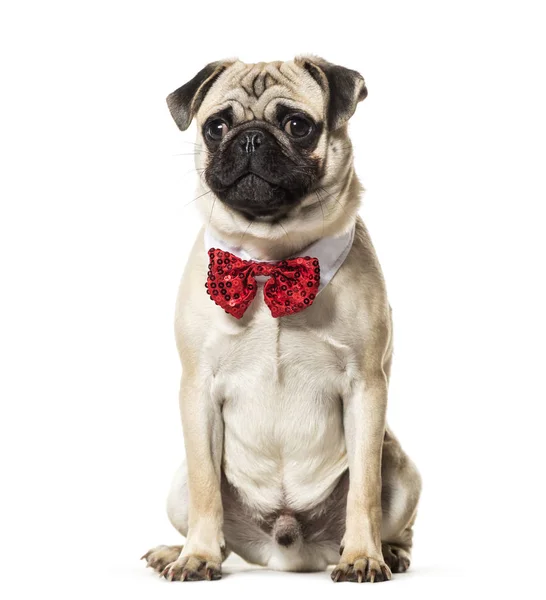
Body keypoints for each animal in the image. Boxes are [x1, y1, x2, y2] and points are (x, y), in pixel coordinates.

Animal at [141, 56, 420, 580]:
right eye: (216, 127)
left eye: (297, 126)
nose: (250, 137)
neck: (271, 261)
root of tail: (288, 546)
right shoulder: (198, 389)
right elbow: (207, 487)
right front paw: (198, 556)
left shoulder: (366, 389)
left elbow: (364, 493)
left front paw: (362, 555)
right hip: (177, 488)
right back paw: (180, 550)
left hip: (402, 471)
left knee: (392, 513)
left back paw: (389, 552)